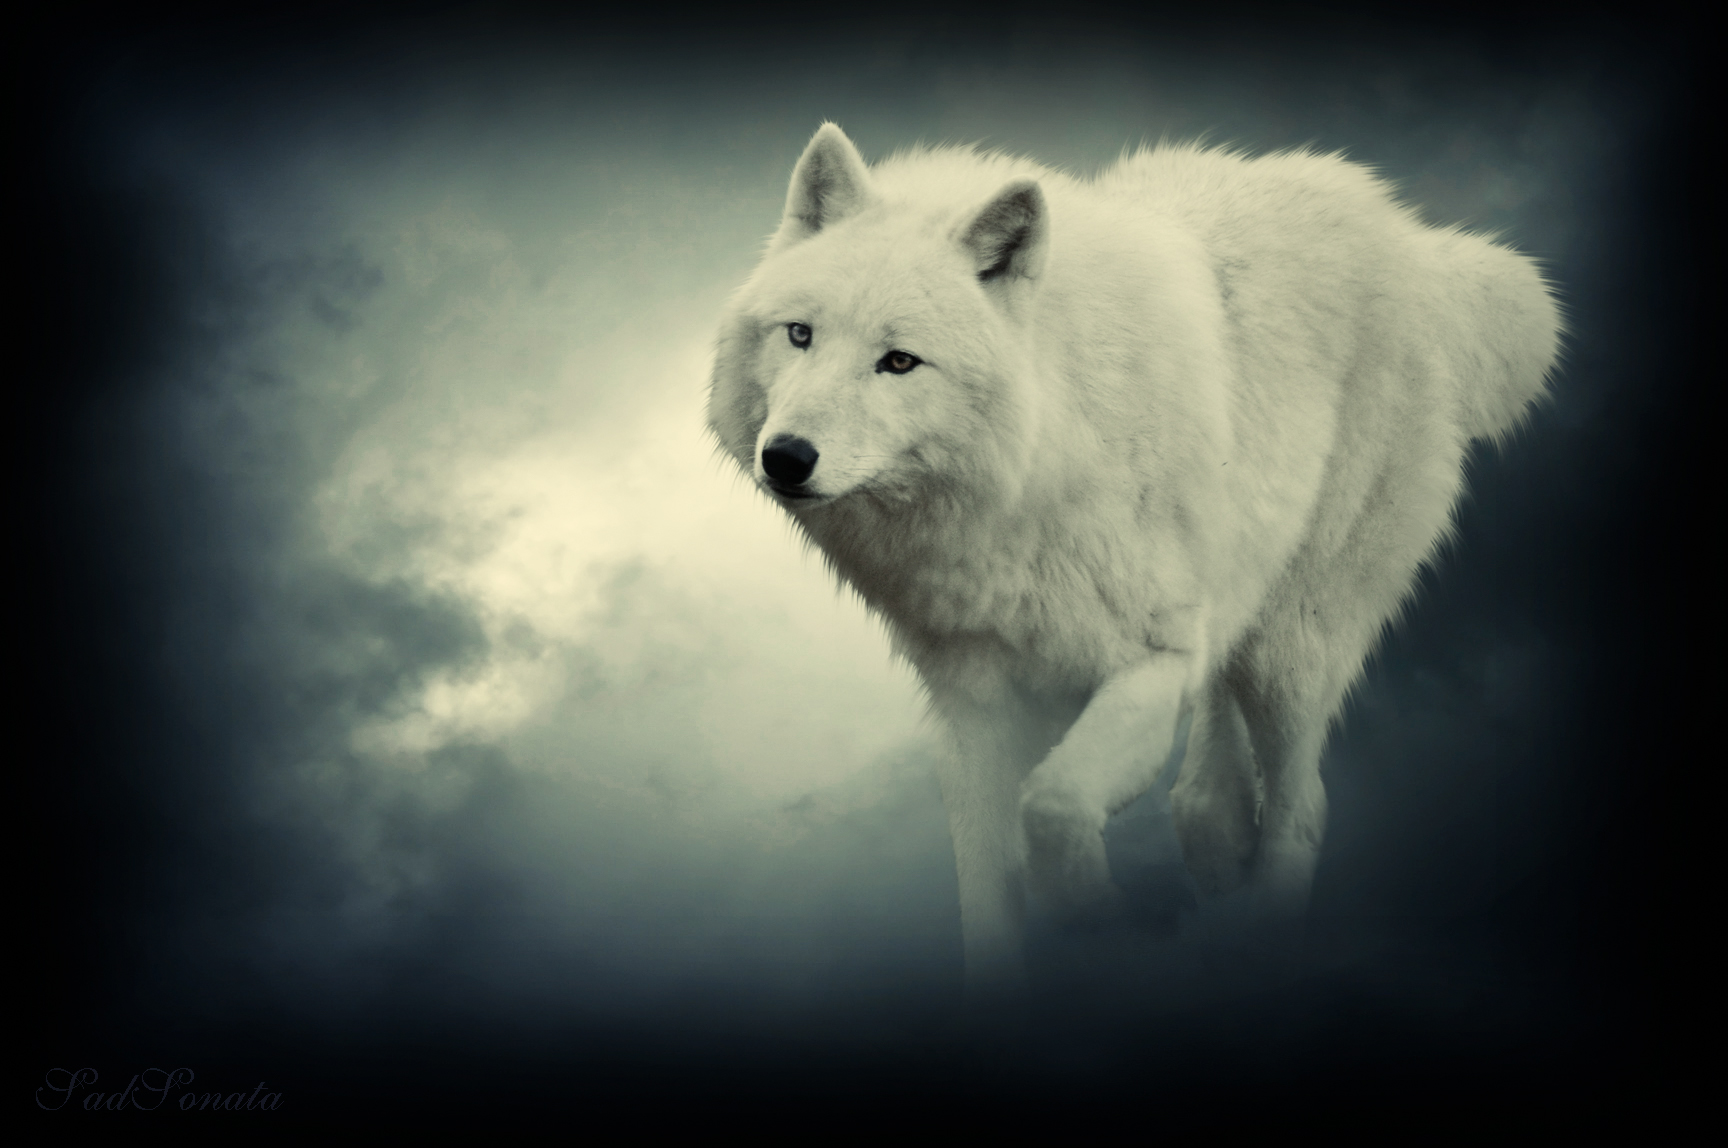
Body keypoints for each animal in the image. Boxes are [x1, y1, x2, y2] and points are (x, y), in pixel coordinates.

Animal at [707, 122, 1561, 997]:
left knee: (1303, 804)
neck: (1033, 472)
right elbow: (986, 895)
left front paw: (1092, 913)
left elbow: (1051, 804)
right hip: (1238, 604)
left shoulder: (1151, 663)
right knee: (1216, 764)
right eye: (800, 334)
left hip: (1293, 647)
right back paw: (1216, 853)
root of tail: (1406, 234)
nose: (786, 457)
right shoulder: (975, 706)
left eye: (900, 362)